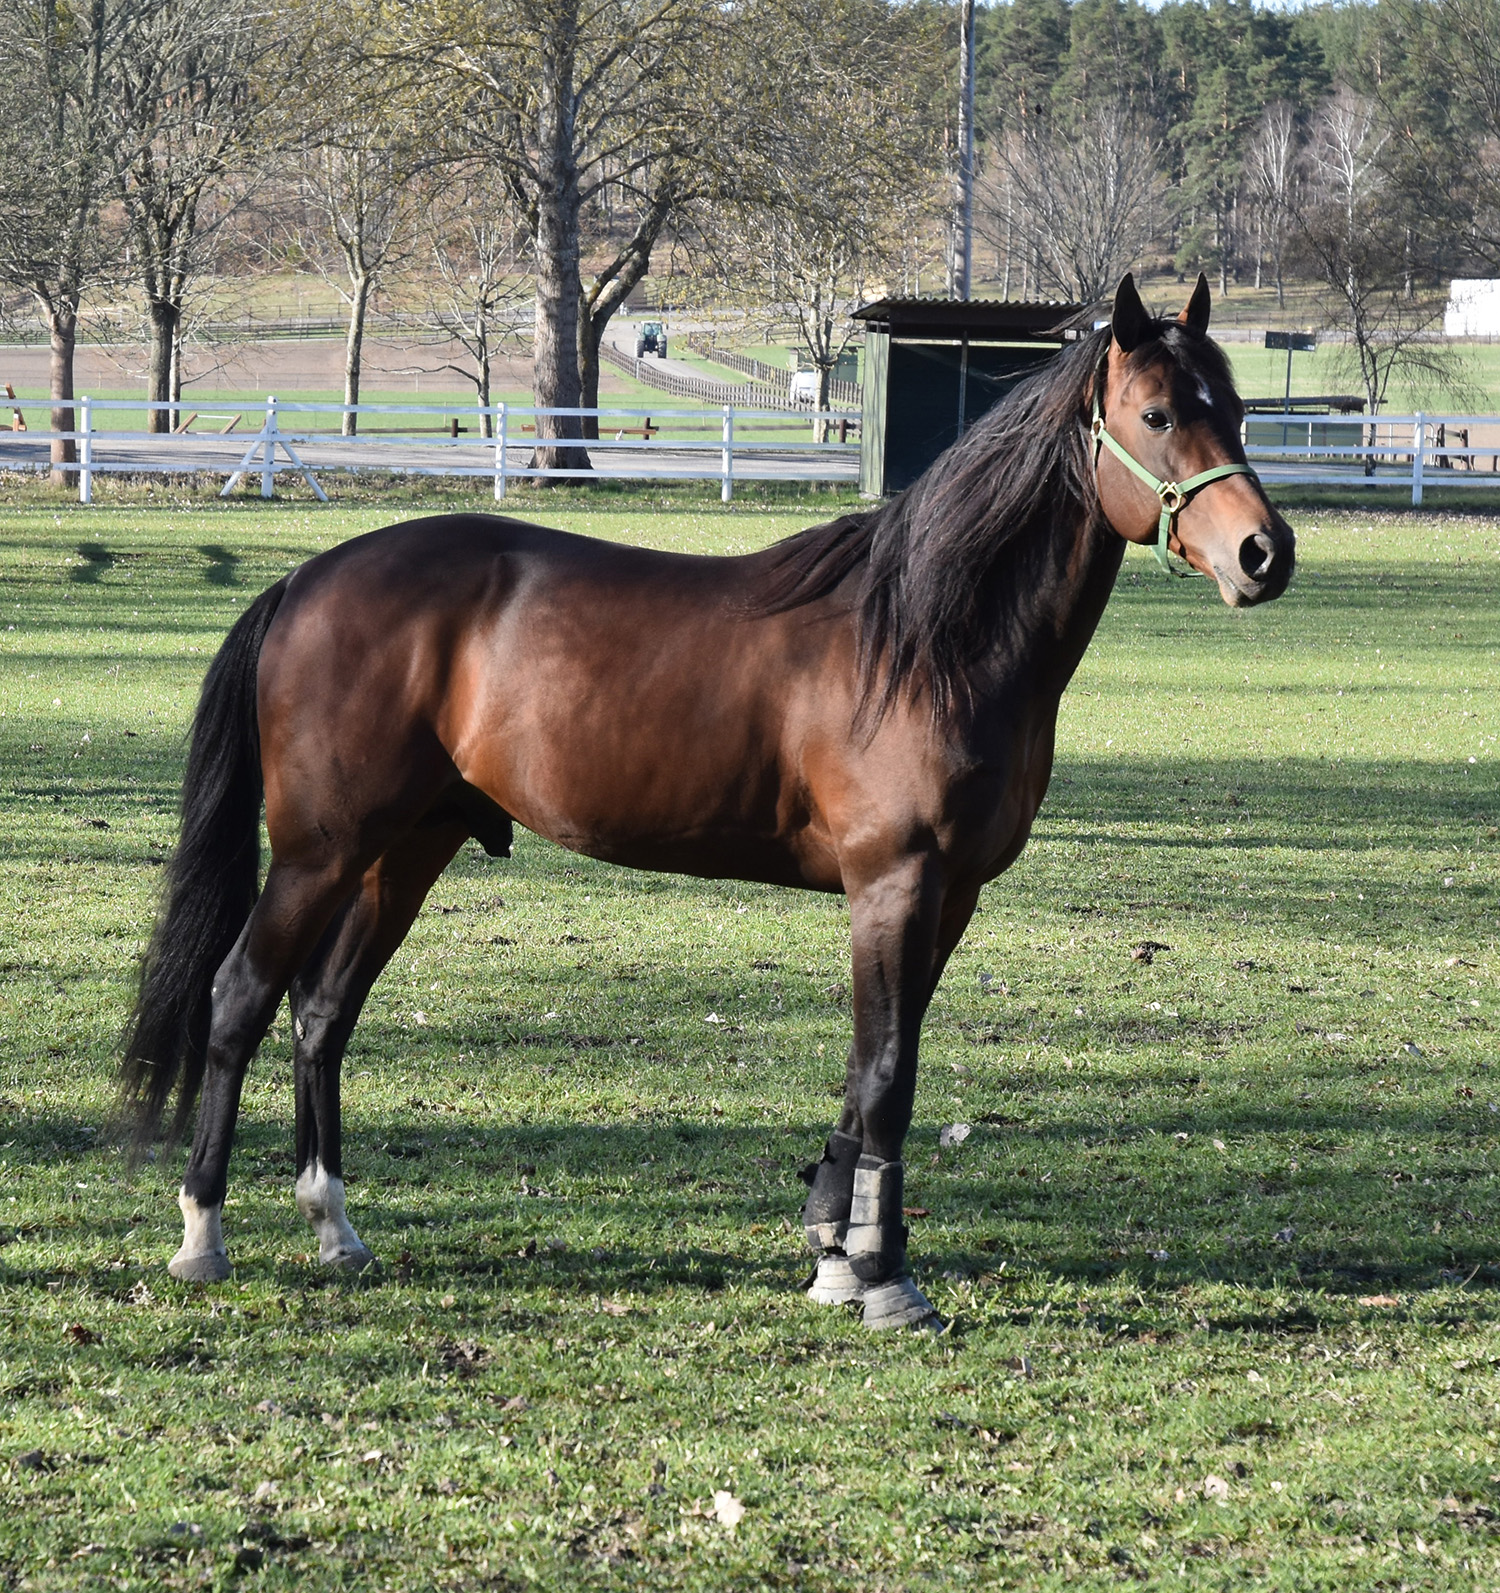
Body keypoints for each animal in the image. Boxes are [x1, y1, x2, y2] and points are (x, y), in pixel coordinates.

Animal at [123, 280, 1292, 1325]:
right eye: (1156, 413)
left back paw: (334, 1227)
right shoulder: (893, 883)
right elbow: (887, 1072)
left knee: (323, 1014)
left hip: (404, 850)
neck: (927, 640)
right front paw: (881, 1280)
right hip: (319, 852)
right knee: (240, 997)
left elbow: (877, 1064)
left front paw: (834, 1250)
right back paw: (203, 1235)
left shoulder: (947, 896)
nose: (1263, 555)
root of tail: (307, 580)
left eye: (1234, 407)